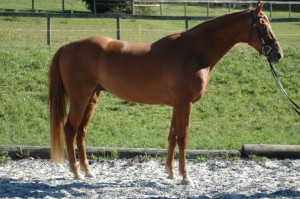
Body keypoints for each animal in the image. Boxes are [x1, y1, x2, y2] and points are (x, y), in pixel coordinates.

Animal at [49, 0, 284, 186]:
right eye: (262, 24)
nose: (278, 54)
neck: (194, 52)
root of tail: (68, 45)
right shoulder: (185, 104)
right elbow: (183, 137)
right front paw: (185, 177)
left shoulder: (176, 105)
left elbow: (172, 136)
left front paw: (170, 173)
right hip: (80, 99)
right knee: (70, 130)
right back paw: (76, 173)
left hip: (92, 98)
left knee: (81, 132)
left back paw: (88, 172)